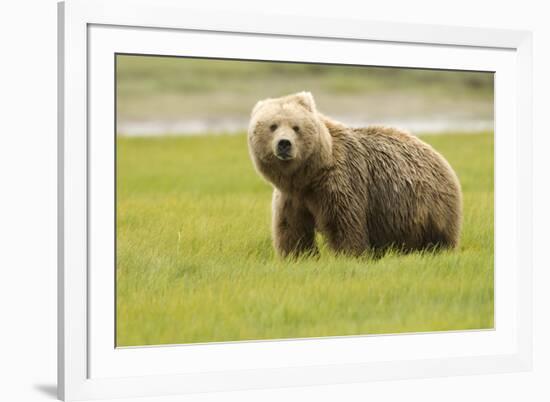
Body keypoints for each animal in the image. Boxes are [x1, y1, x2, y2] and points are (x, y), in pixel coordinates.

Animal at [248, 91, 464, 258]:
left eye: (296, 127)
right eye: (273, 126)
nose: (284, 144)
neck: (308, 175)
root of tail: (439, 157)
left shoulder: (340, 182)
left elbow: (343, 224)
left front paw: (348, 255)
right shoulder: (292, 197)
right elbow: (292, 229)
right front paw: (297, 256)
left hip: (429, 207)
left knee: (438, 238)